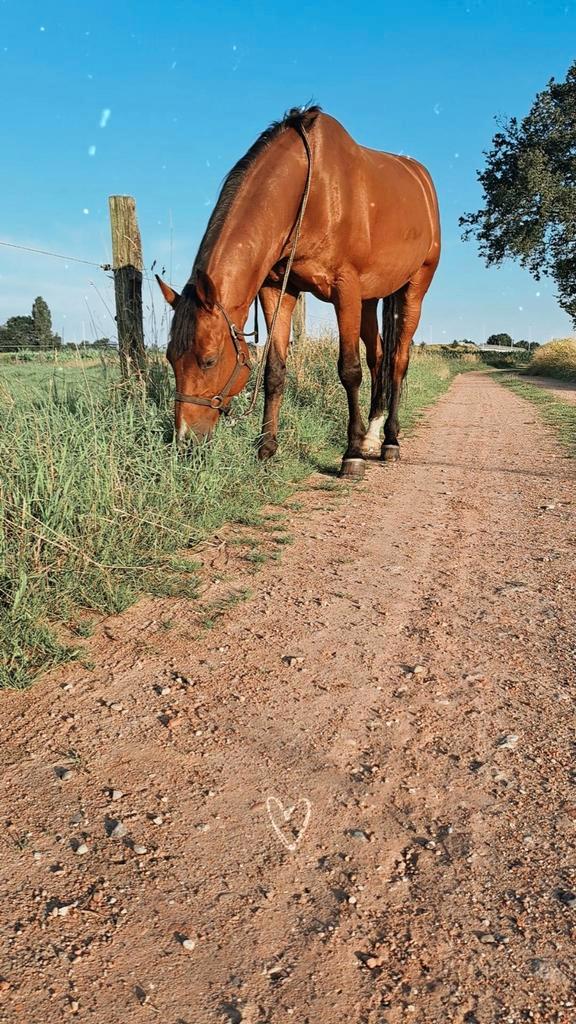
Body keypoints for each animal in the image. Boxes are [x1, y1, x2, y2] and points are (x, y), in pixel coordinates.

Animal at [157, 105, 440, 479]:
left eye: (209, 360)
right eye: (170, 358)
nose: (185, 442)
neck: (311, 191)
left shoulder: (344, 289)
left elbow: (349, 370)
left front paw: (351, 455)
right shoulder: (278, 289)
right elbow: (275, 371)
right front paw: (266, 448)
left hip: (413, 289)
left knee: (397, 361)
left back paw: (389, 441)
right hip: (369, 299)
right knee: (379, 356)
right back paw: (372, 436)